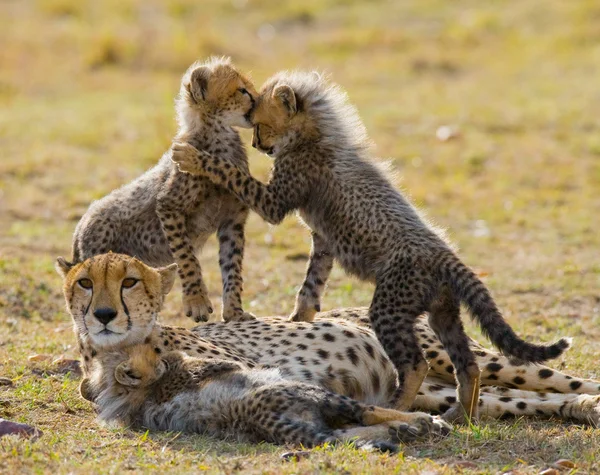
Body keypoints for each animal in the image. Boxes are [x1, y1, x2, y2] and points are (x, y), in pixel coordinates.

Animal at [56, 253, 600, 428]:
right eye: (85, 282)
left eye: (129, 281)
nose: (103, 314)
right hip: (440, 391)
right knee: (518, 401)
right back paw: (585, 410)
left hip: (456, 358)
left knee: (559, 377)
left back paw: (588, 399)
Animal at [71, 55, 256, 324]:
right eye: (242, 90)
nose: (259, 101)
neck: (217, 136)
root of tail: (82, 222)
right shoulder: (169, 207)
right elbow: (187, 258)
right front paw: (197, 302)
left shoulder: (232, 220)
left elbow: (232, 267)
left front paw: (234, 312)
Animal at [171, 71, 568, 424]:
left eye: (258, 123)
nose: (256, 145)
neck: (314, 133)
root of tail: (444, 254)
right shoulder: (324, 239)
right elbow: (312, 284)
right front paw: (299, 321)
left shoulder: (275, 201)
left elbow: (235, 175)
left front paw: (195, 158)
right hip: (442, 312)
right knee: (467, 364)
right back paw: (461, 415)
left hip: (390, 307)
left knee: (416, 364)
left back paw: (400, 405)